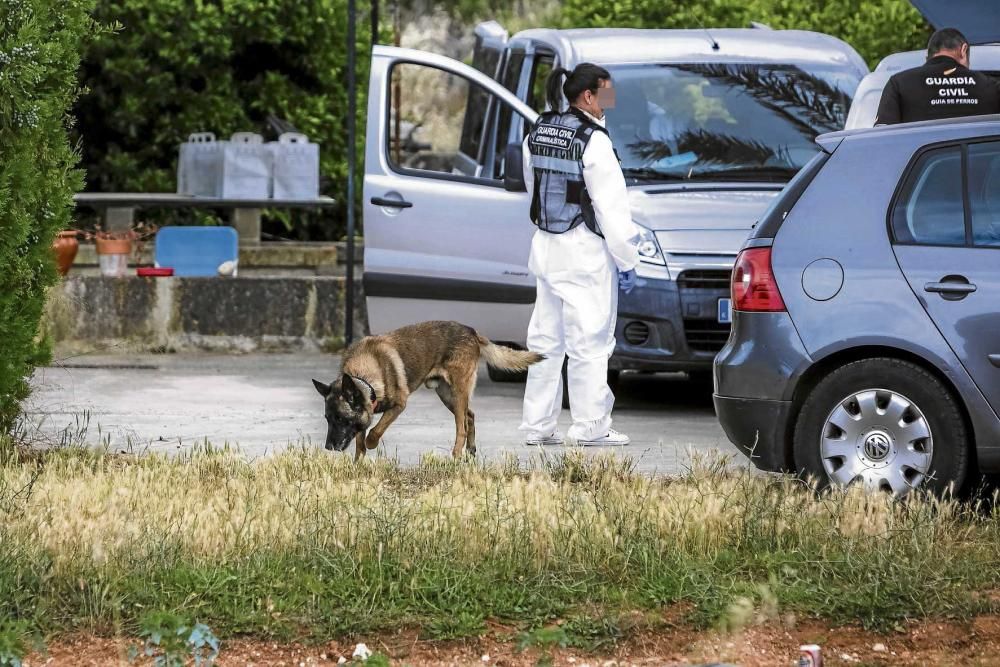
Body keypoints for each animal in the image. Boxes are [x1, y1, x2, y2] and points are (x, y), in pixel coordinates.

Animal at [314, 322, 544, 460]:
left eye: (341, 419)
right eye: (327, 419)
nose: (328, 447)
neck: (364, 373)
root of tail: (471, 331)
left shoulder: (398, 405)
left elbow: (375, 431)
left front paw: (371, 443)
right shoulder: (366, 409)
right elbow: (360, 440)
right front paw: (358, 464)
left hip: (458, 392)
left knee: (461, 426)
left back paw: (456, 455)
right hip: (447, 396)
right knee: (470, 416)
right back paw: (470, 450)